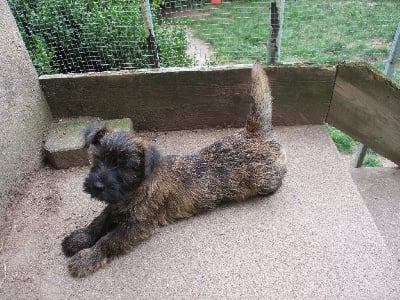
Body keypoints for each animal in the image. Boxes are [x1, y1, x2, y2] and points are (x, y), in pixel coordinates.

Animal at [61, 61, 286, 276]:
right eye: (97, 158)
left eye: (125, 167)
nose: (97, 185)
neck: (138, 188)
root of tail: (255, 133)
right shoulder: (114, 205)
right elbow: (99, 221)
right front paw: (80, 238)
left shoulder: (137, 225)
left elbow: (109, 240)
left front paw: (87, 258)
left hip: (265, 181)